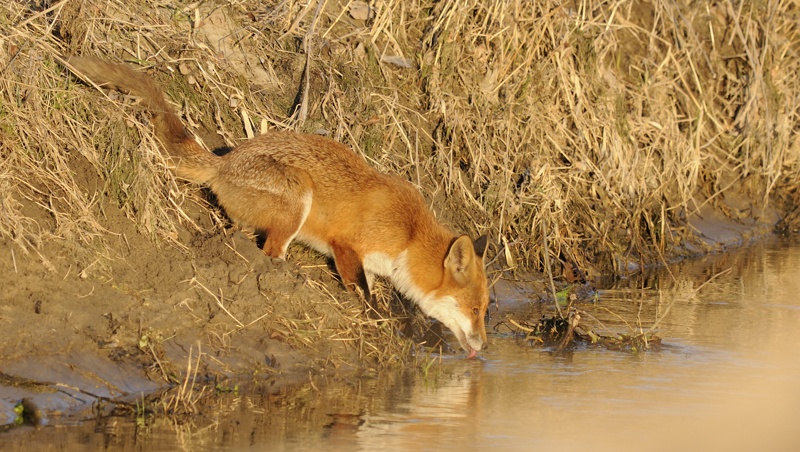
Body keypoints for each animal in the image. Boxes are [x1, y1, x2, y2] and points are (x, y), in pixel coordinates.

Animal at [64, 55, 488, 356]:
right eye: (477, 311)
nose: (484, 347)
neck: (410, 233)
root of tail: (225, 162)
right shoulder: (347, 244)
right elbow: (363, 293)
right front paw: (376, 318)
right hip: (298, 197)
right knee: (269, 253)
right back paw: (289, 278)